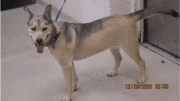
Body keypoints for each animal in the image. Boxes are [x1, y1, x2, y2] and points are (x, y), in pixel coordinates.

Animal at [23, 4, 179, 100]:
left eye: (44, 29)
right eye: (33, 28)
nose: (39, 41)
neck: (56, 34)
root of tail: (128, 16)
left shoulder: (65, 66)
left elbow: (68, 84)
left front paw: (68, 96)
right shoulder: (70, 64)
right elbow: (74, 77)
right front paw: (74, 87)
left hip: (130, 48)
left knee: (142, 62)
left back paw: (142, 78)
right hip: (113, 47)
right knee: (119, 59)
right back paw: (113, 72)